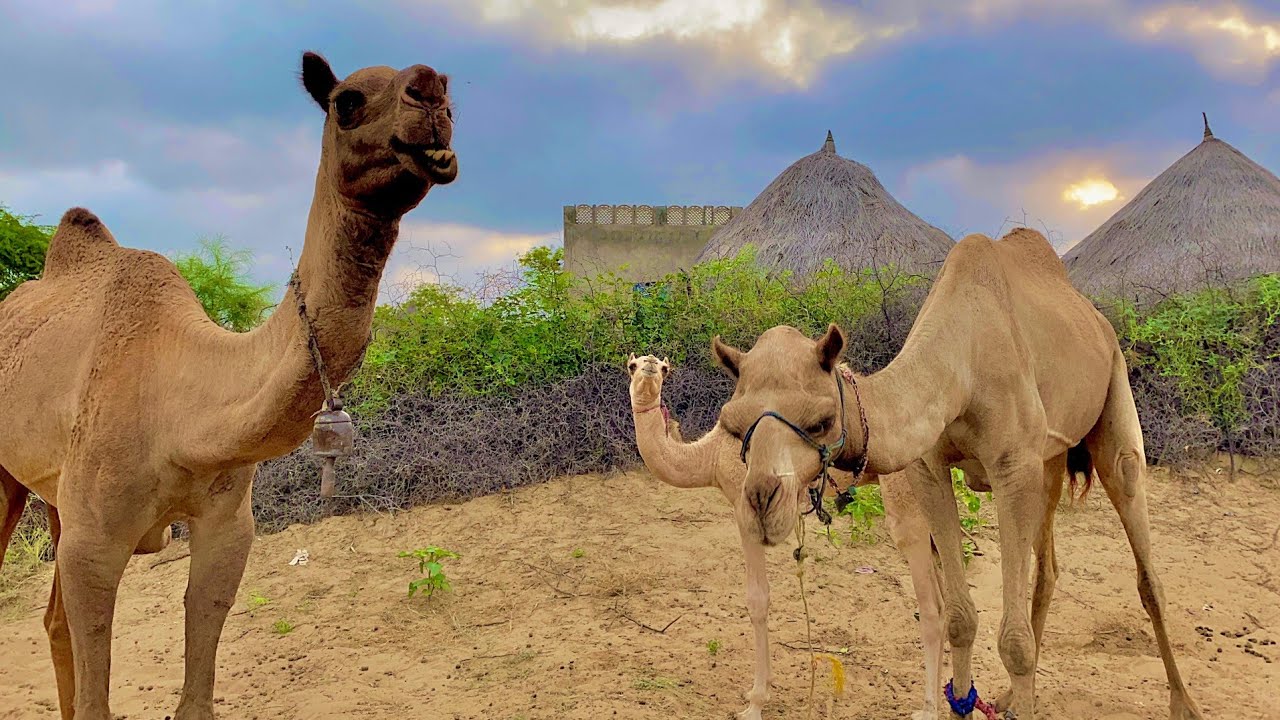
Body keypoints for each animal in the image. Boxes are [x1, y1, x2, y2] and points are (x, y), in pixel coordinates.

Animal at [0, 51, 459, 719]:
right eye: (346, 102)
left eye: (451, 93)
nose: (430, 93)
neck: (182, 410)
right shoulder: (94, 540)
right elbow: (95, 691)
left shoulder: (227, 524)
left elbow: (197, 674)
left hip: (56, 496)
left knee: (53, 622)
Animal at [628, 353, 959, 719]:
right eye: (633, 365)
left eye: (662, 368)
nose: (648, 370)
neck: (710, 456)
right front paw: (758, 691)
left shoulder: (746, 509)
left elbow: (757, 599)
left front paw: (755, 702)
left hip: (905, 495)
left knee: (931, 604)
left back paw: (927, 709)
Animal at [711, 228, 1204, 719]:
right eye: (733, 426)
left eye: (821, 421)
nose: (760, 504)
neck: (963, 360)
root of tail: (1098, 321)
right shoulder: (929, 468)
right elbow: (960, 619)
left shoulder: (1013, 466)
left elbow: (1014, 642)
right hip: (1051, 458)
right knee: (1047, 568)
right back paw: (1010, 696)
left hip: (1114, 395)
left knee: (1141, 547)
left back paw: (1184, 703)